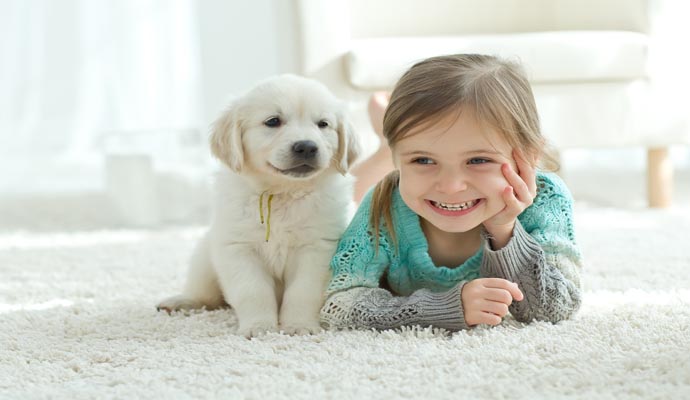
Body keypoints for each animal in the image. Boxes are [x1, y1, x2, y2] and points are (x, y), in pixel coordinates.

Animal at [156, 74, 360, 338]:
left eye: (323, 124)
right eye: (273, 121)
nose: (306, 146)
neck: (282, 192)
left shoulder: (317, 248)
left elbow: (303, 292)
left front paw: (298, 325)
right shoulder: (238, 248)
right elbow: (253, 291)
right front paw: (259, 327)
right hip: (204, 261)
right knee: (206, 296)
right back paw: (180, 301)